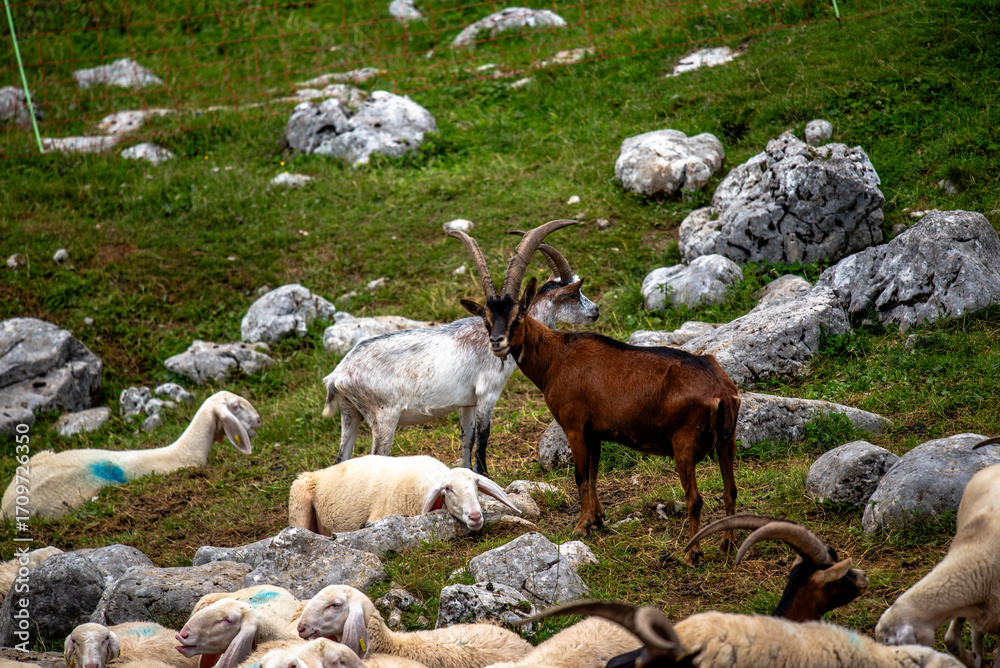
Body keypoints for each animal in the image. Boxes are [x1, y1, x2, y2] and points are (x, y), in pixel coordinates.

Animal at [322, 242, 598, 474]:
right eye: (575, 294)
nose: (595, 311)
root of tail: (338, 375)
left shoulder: (468, 402)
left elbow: (468, 437)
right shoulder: (488, 394)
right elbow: (483, 438)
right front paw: (485, 477)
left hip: (350, 414)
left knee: (340, 459)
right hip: (383, 418)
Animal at [450, 219, 741, 565]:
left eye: (518, 314)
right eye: (486, 317)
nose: (497, 342)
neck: (557, 357)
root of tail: (721, 389)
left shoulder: (575, 427)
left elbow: (580, 475)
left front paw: (581, 526)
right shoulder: (597, 431)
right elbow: (593, 474)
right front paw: (599, 520)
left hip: (684, 441)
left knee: (695, 498)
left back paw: (693, 553)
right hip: (727, 439)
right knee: (731, 489)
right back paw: (727, 546)